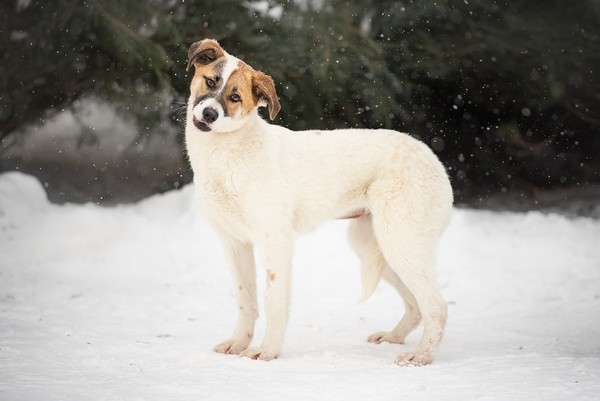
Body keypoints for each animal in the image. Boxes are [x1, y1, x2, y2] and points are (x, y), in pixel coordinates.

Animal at [185, 39, 452, 364]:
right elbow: (245, 299)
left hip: (400, 242)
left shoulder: (276, 241)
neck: (228, 152)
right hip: (374, 247)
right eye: (211, 81)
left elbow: (273, 301)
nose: (209, 114)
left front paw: (267, 351)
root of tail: (432, 157)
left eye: (235, 97)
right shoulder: (234, 243)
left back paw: (421, 356)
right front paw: (238, 343)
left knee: (436, 306)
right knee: (416, 305)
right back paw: (393, 337)